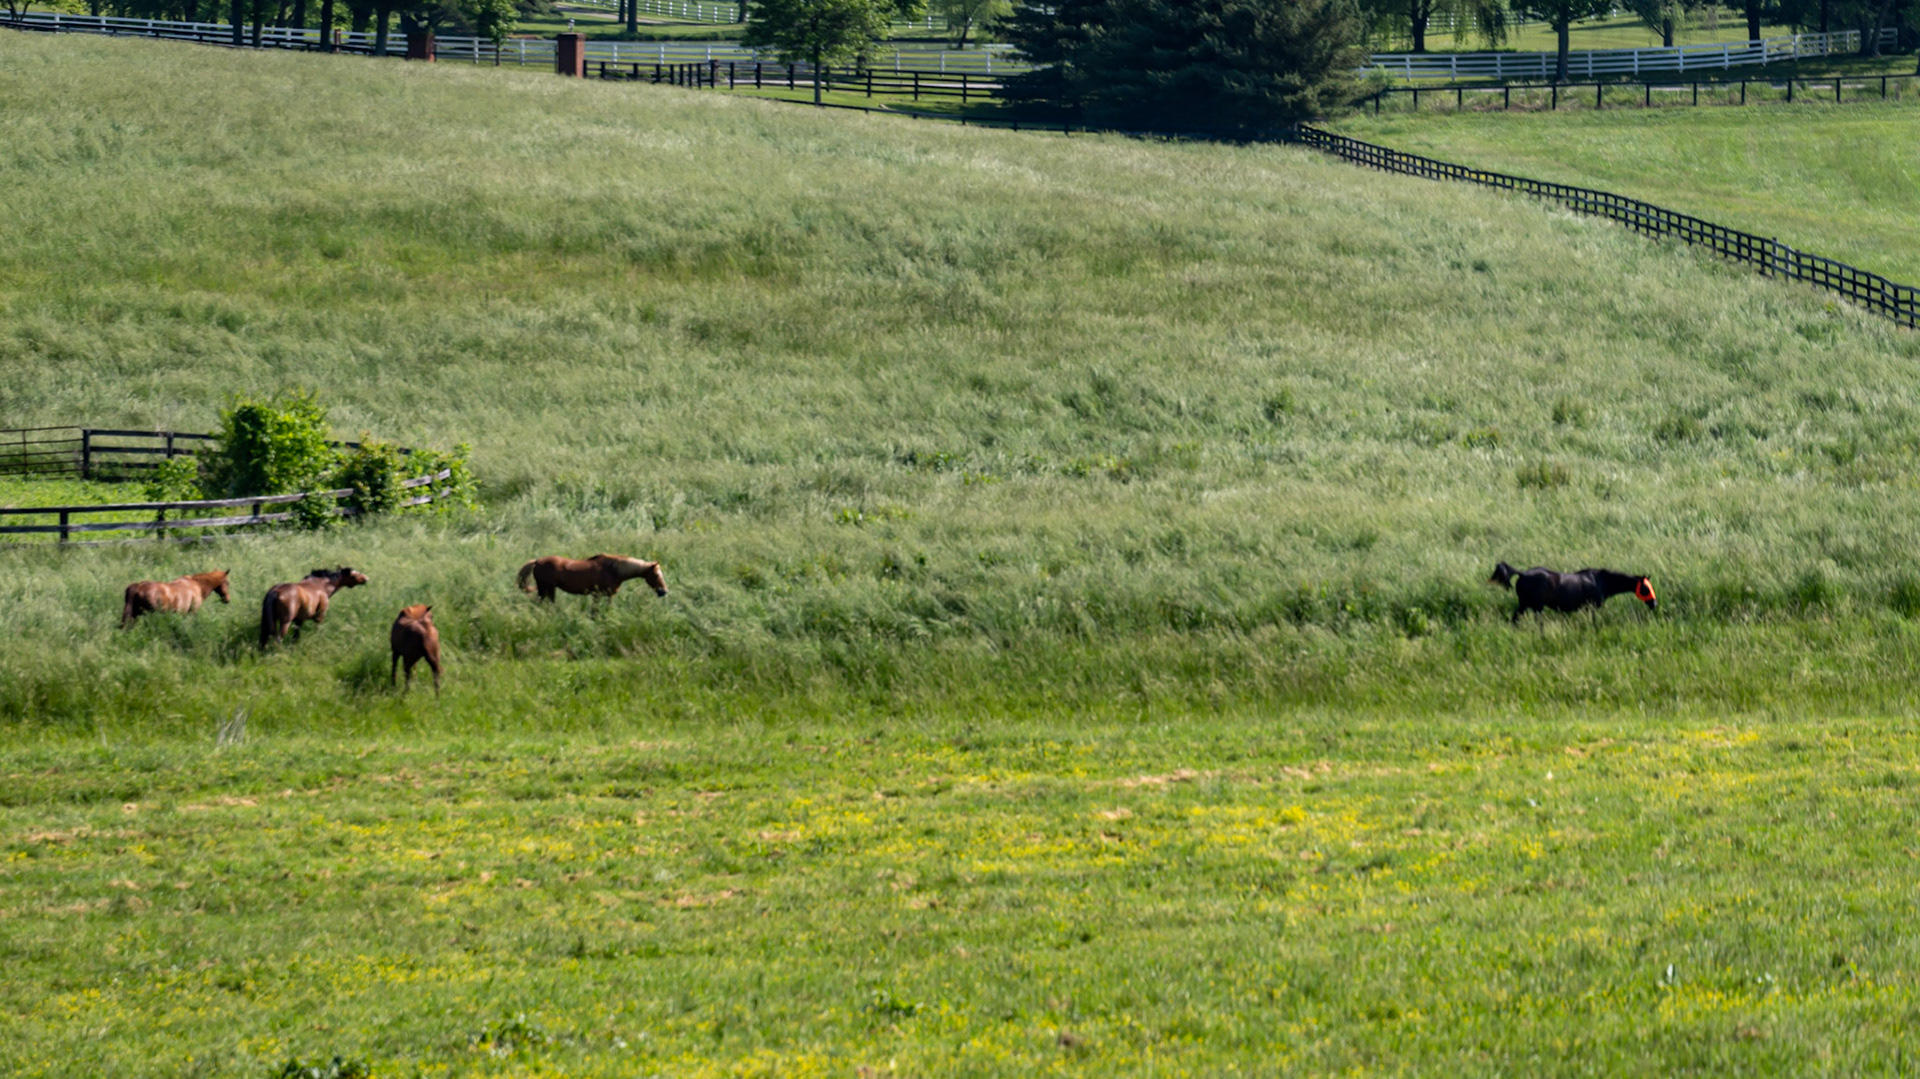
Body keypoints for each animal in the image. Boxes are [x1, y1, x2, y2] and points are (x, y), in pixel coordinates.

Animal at [516, 554, 668, 602]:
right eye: (655, 575)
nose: (663, 591)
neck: (614, 570)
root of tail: (537, 561)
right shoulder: (601, 595)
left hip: (545, 590)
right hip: (548, 589)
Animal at [1489, 562, 1657, 625]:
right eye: (1645, 588)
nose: (1654, 604)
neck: (1601, 581)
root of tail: (1522, 574)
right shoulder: (1592, 607)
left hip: (1524, 605)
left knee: (1515, 620)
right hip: (1536, 606)